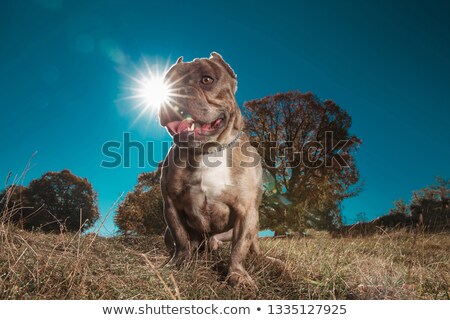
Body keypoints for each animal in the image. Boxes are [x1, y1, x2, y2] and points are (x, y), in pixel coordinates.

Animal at [159, 52, 262, 288]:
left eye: (207, 79)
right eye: (167, 82)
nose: (177, 90)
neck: (208, 152)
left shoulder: (247, 211)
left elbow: (239, 247)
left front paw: (237, 275)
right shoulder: (171, 205)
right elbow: (180, 238)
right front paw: (179, 263)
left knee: (252, 244)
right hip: (168, 232)